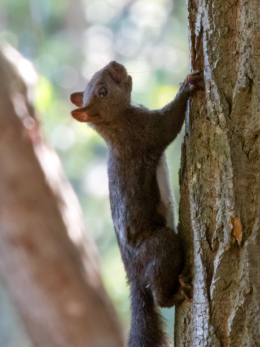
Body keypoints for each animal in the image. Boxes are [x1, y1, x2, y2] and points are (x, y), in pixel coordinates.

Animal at [70, 62, 202, 347]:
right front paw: (187, 85)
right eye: (103, 91)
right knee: (160, 294)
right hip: (160, 246)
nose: (115, 64)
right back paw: (176, 292)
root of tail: (134, 277)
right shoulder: (142, 133)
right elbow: (167, 124)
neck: (115, 122)